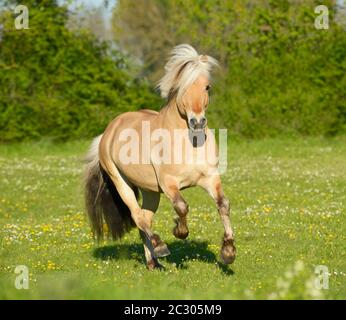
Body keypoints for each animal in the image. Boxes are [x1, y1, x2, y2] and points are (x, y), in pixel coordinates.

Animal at [84, 44, 235, 270]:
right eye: (182, 87)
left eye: (207, 87)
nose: (197, 122)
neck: (188, 143)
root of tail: (109, 131)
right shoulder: (168, 183)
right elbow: (182, 207)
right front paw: (180, 232)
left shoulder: (210, 178)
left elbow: (223, 205)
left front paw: (228, 252)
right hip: (121, 183)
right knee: (138, 217)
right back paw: (160, 247)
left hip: (150, 191)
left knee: (145, 219)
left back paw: (153, 262)